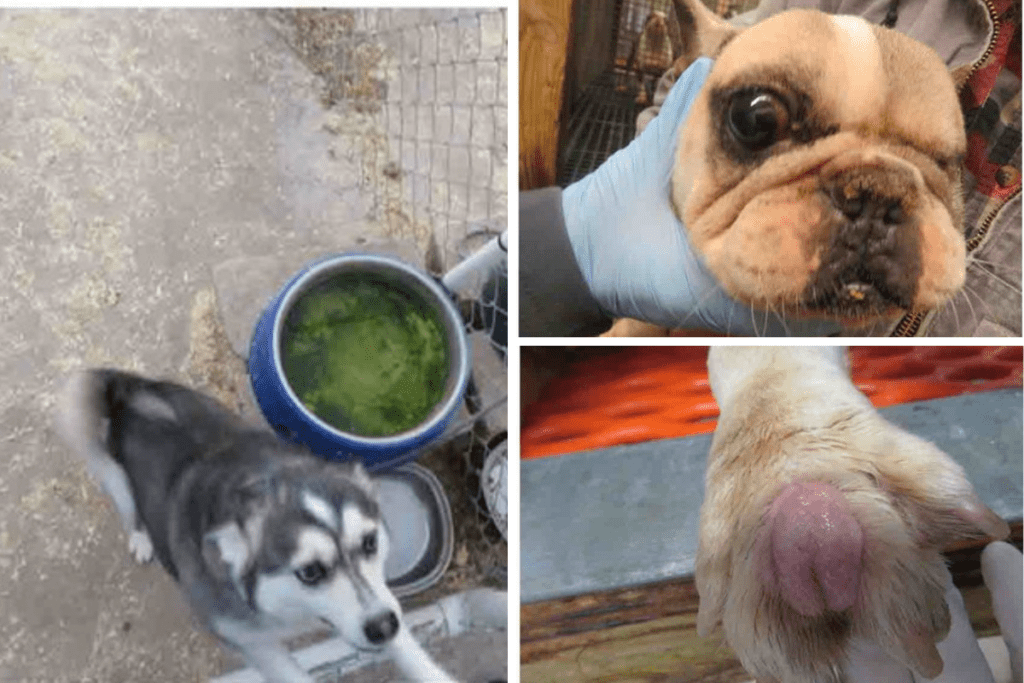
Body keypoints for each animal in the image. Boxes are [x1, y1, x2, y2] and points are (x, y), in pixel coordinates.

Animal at [55, 368, 456, 683]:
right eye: (310, 572)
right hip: (116, 478)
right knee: (130, 509)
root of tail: (129, 389)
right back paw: (141, 540)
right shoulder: (251, 642)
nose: (383, 627)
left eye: (370, 542)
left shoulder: (384, 599)